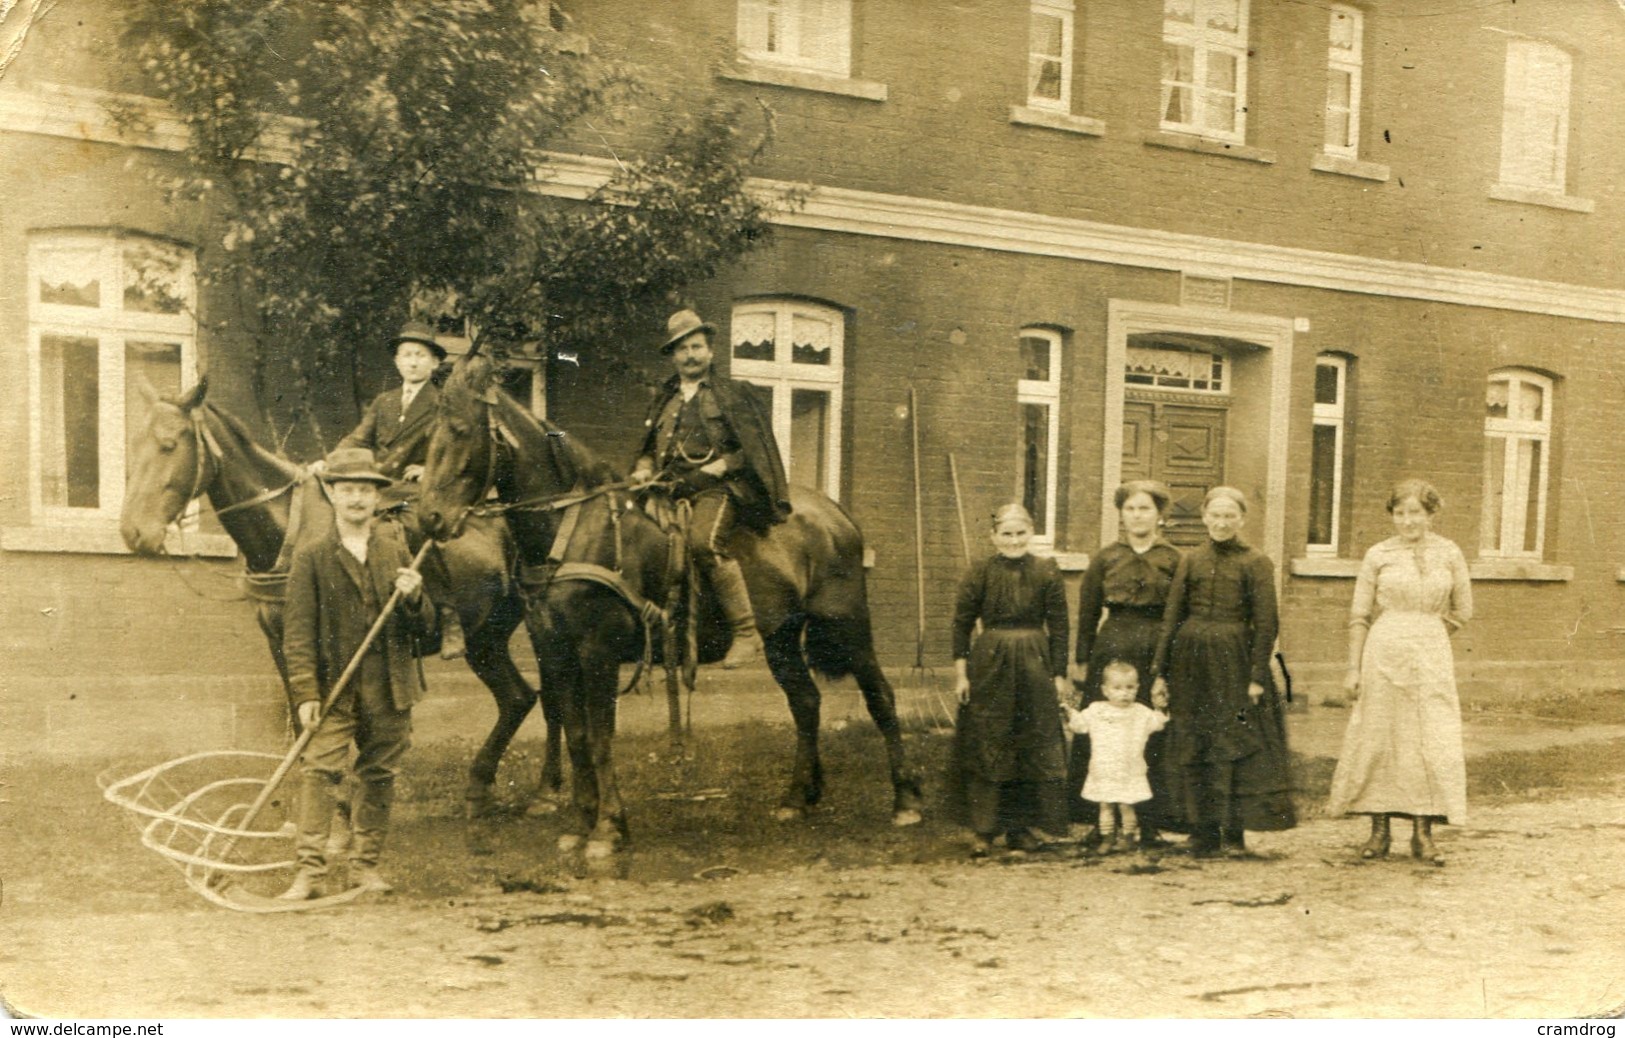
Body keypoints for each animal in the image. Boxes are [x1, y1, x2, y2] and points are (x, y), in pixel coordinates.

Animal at [120, 376, 565, 815]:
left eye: (168, 445)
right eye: (135, 445)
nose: (133, 532)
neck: (291, 529)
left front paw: (340, 802)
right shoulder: (283, 642)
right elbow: (305, 719)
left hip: (538, 628)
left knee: (553, 698)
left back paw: (547, 790)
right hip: (486, 638)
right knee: (518, 698)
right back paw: (480, 787)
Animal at [419, 357, 929, 857]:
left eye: (460, 430)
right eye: (431, 435)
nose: (430, 518)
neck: (570, 527)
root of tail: (836, 514)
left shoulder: (598, 651)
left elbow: (600, 737)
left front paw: (608, 828)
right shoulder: (556, 650)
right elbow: (577, 736)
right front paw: (580, 824)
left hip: (847, 625)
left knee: (881, 697)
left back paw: (905, 801)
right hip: (781, 637)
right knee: (806, 703)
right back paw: (796, 798)